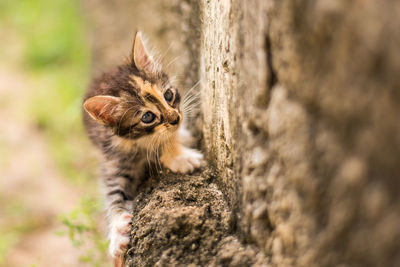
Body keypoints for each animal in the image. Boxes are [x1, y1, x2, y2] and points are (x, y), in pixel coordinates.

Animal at [83, 31, 205, 260]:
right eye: (148, 117)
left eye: (168, 95)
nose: (175, 118)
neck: (140, 143)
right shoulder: (113, 160)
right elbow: (113, 195)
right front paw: (117, 232)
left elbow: (169, 138)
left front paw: (180, 155)